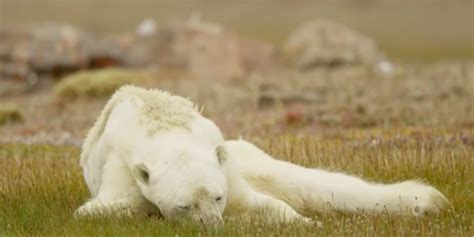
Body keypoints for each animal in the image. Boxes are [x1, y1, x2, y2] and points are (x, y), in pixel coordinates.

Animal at [75, 84, 308, 224]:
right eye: (184, 206)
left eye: (218, 197)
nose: (212, 226)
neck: (169, 132)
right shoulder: (122, 168)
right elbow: (99, 209)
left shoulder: (225, 167)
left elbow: (253, 202)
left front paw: (306, 222)